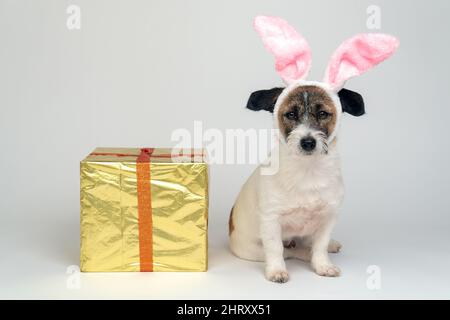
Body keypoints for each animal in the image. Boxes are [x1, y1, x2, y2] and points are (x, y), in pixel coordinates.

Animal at [229, 16, 398, 284]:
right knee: (291, 250)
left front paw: (323, 264)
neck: (307, 170)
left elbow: (319, 245)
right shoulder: (271, 221)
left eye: (323, 114)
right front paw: (276, 270)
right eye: (290, 114)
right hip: (252, 249)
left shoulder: (328, 216)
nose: (307, 142)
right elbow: (276, 248)